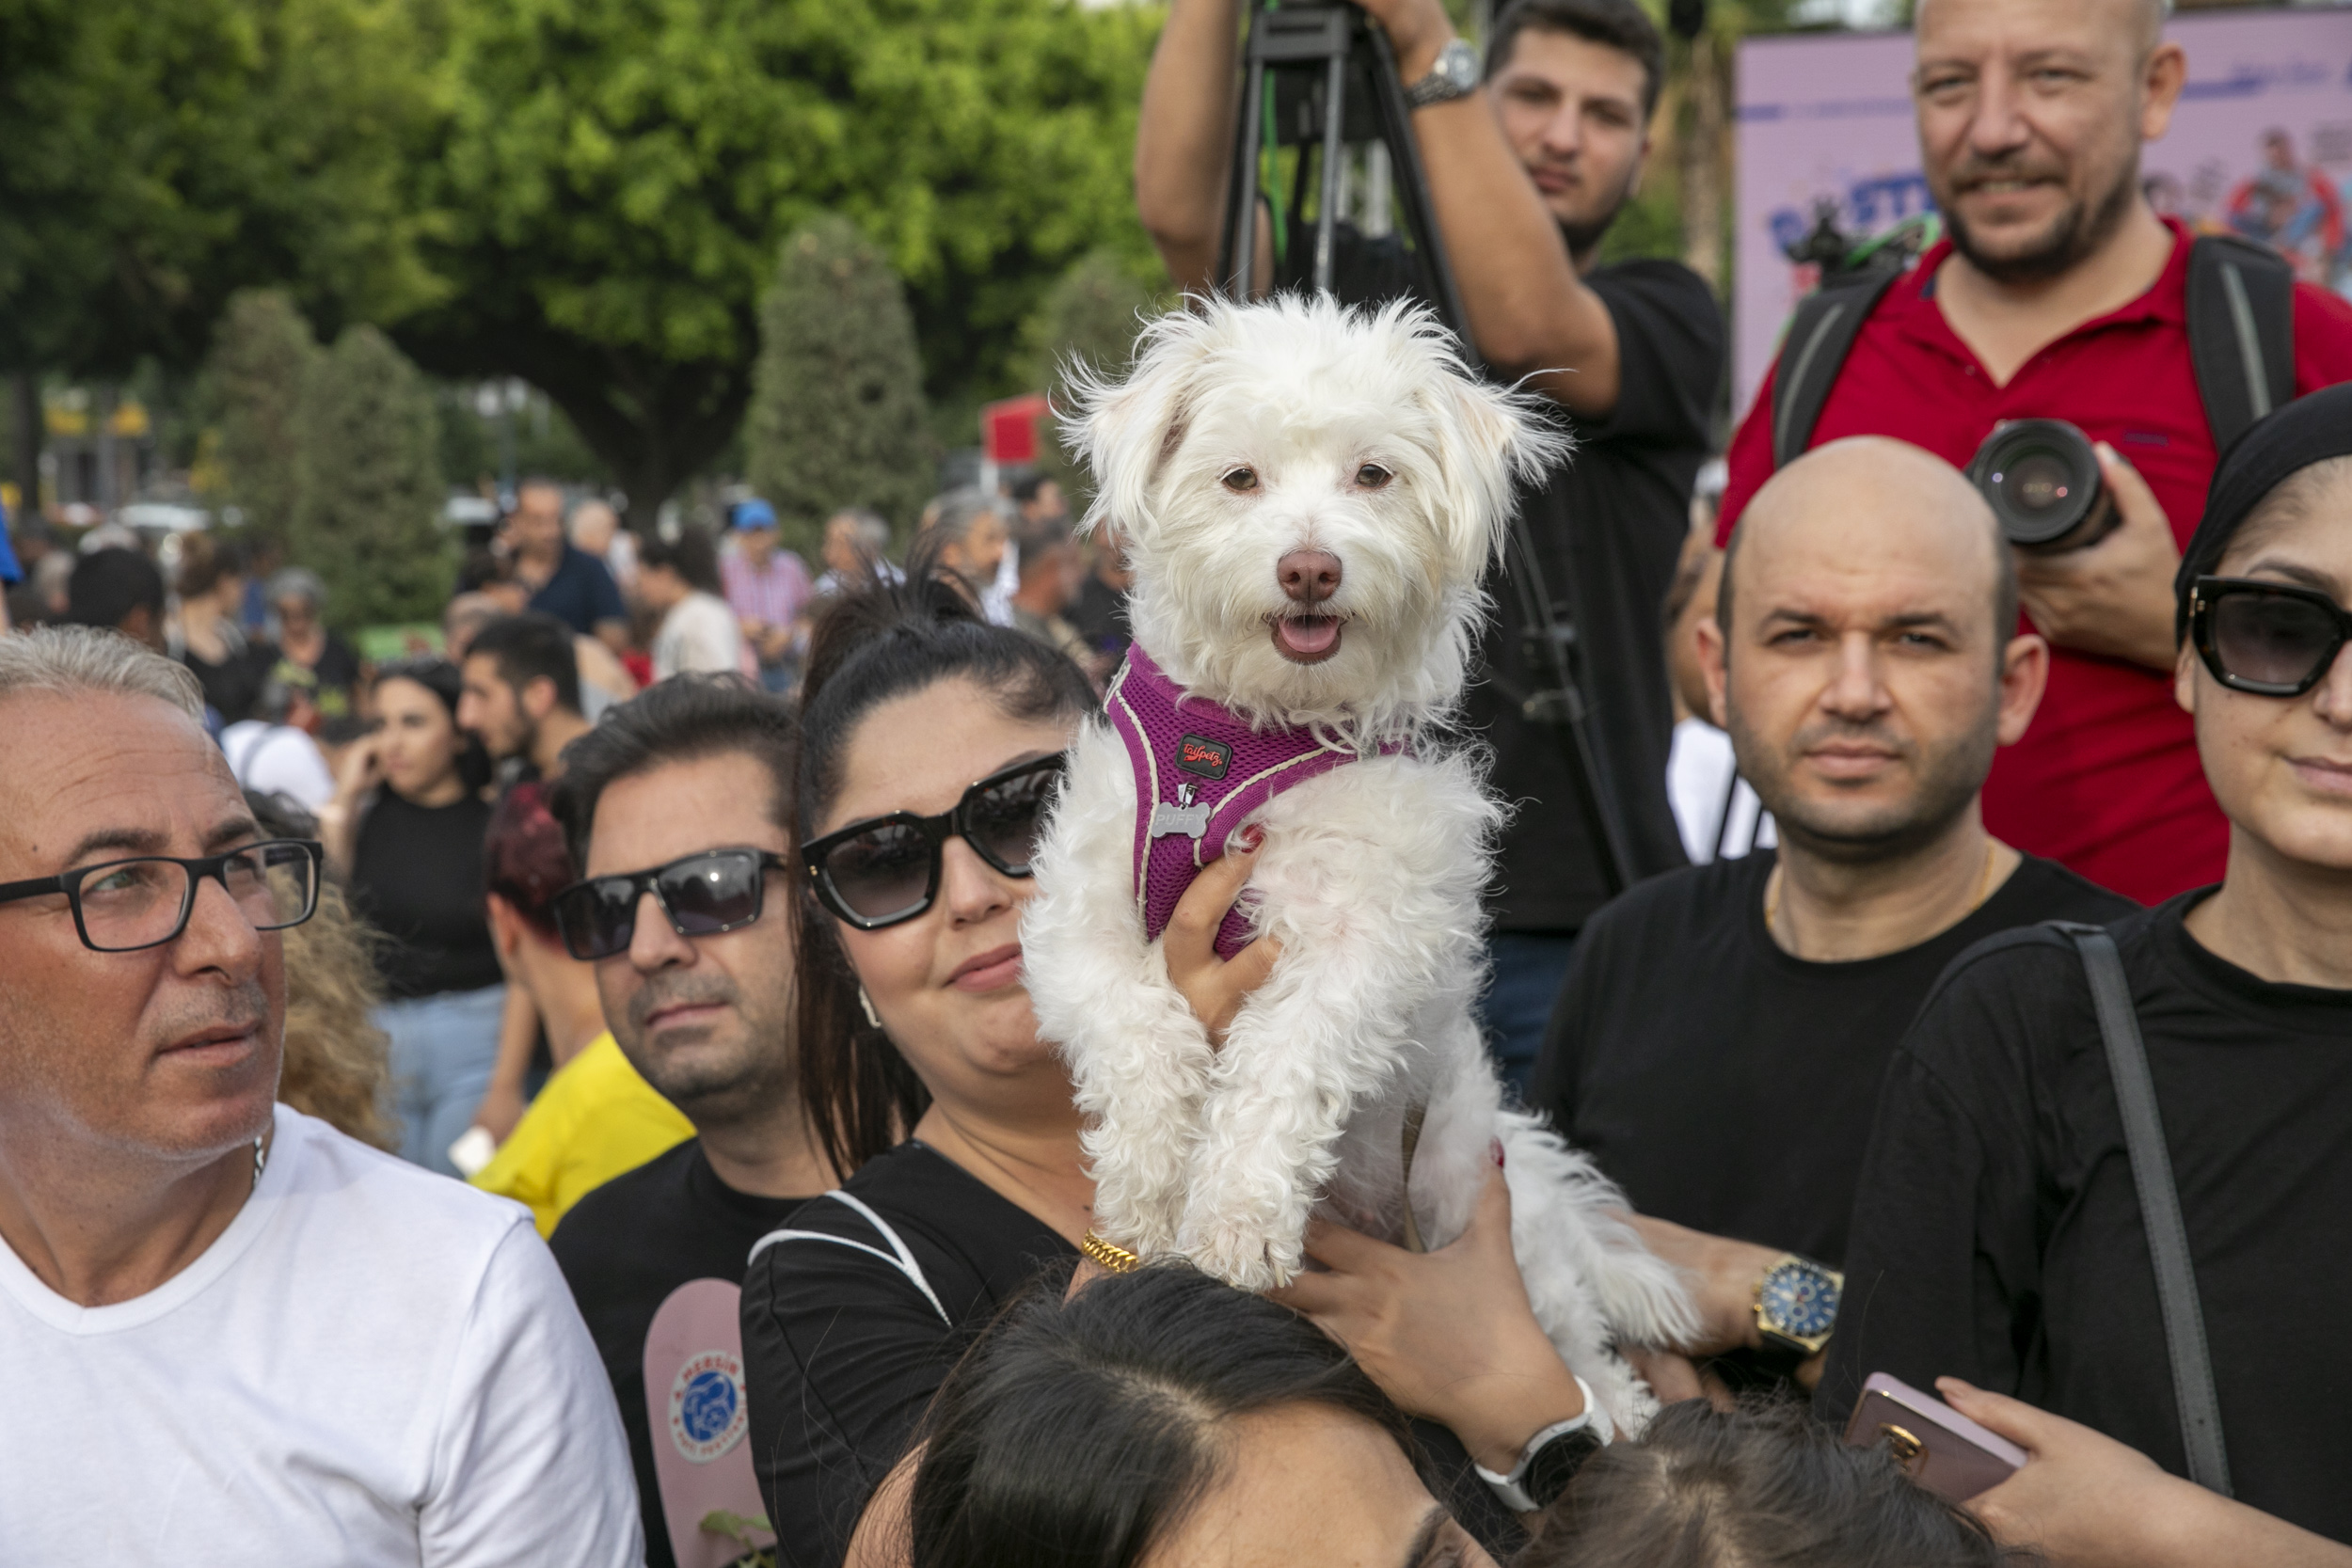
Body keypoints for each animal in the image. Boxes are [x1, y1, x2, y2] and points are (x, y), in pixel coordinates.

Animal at [1021, 297, 1703, 1438]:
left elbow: (1278, 1066)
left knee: (1572, 1336)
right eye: (1239, 477)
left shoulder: (1364, 936)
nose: (1310, 568)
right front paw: (1147, 1194)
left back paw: (1614, 1411)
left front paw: (1237, 1216)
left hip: (1484, 1209)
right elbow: (1143, 1038)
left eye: (1372, 475)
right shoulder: (1080, 926)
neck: (1237, 742)